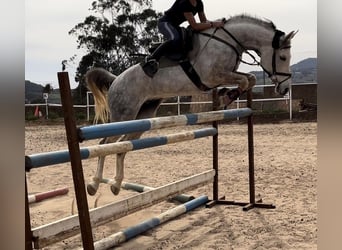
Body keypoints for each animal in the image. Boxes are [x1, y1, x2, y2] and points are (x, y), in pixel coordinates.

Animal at [84, 14, 296, 195]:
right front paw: (226, 97)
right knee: (105, 144)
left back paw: (116, 185)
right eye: (283, 57)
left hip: (143, 117)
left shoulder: (224, 76)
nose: (285, 88)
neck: (229, 41)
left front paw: (227, 96)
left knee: (122, 147)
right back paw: (94, 184)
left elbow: (250, 79)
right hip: (123, 115)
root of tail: (116, 80)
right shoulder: (213, 76)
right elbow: (246, 79)